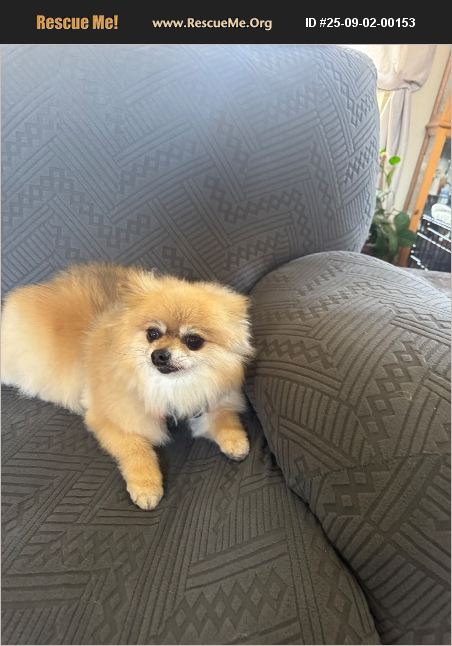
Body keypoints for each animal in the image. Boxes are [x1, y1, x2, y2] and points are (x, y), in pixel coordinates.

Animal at [1, 263, 253, 510]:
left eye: (193, 341)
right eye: (153, 333)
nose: (159, 355)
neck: (170, 388)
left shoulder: (212, 397)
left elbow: (225, 417)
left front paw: (235, 440)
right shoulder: (112, 419)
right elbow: (136, 449)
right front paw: (146, 486)